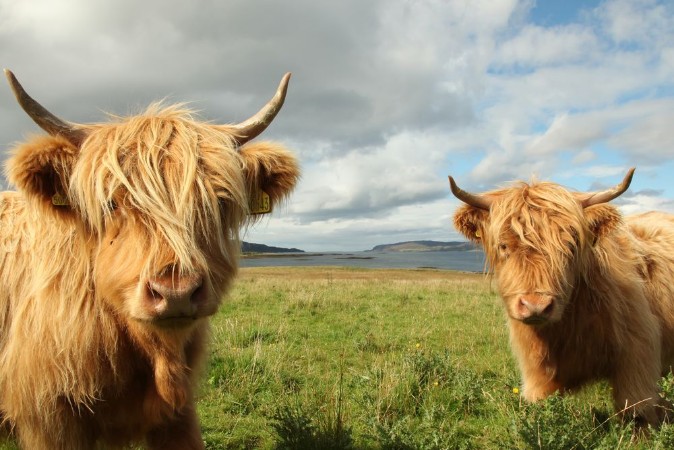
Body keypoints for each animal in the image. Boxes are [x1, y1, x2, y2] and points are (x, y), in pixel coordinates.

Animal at [449, 169, 674, 427]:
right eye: (504, 246)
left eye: (570, 245)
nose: (536, 306)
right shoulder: (537, 372)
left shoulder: (637, 357)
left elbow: (636, 414)